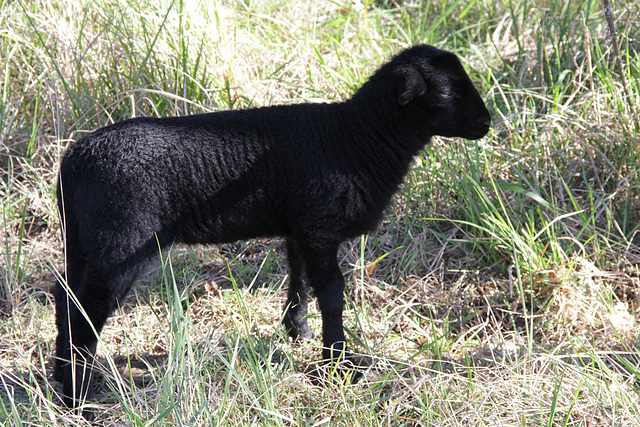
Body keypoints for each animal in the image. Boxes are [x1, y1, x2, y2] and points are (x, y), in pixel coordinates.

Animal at [56, 44, 490, 414]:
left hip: (83, 242)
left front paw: (296, 330)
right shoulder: (319, 226)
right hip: (121, 241)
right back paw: (77, 398)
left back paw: (62, 380)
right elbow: (332, 293)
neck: (356, 138)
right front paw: (338, 362)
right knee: (87, 310)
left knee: (65, 297)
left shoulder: (300, 225)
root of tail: (75, 158)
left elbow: (298, 277)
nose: (486, 123)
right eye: (446, 92)